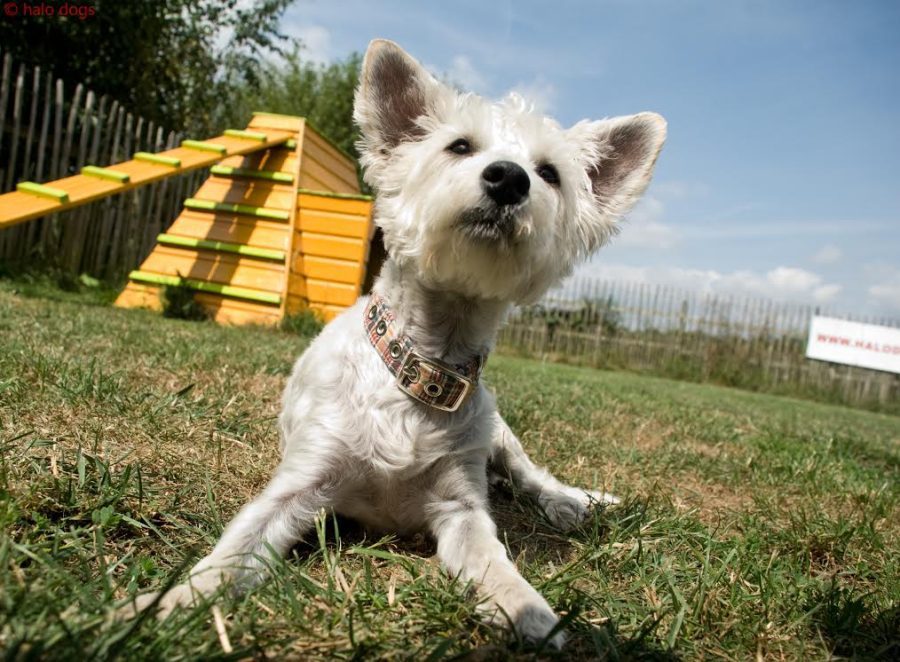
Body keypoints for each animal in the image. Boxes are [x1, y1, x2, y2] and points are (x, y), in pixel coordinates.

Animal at [127, 39, 665, 648]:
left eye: (549, 173)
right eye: (460, 146)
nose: (510, 178)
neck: (421, 367)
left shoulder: (461, 506)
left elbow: (493, 559)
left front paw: (527, 608)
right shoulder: (299, 485)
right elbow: (231, 553)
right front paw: (170, 604)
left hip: (499, 433)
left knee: (531, 476)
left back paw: (570, 502)